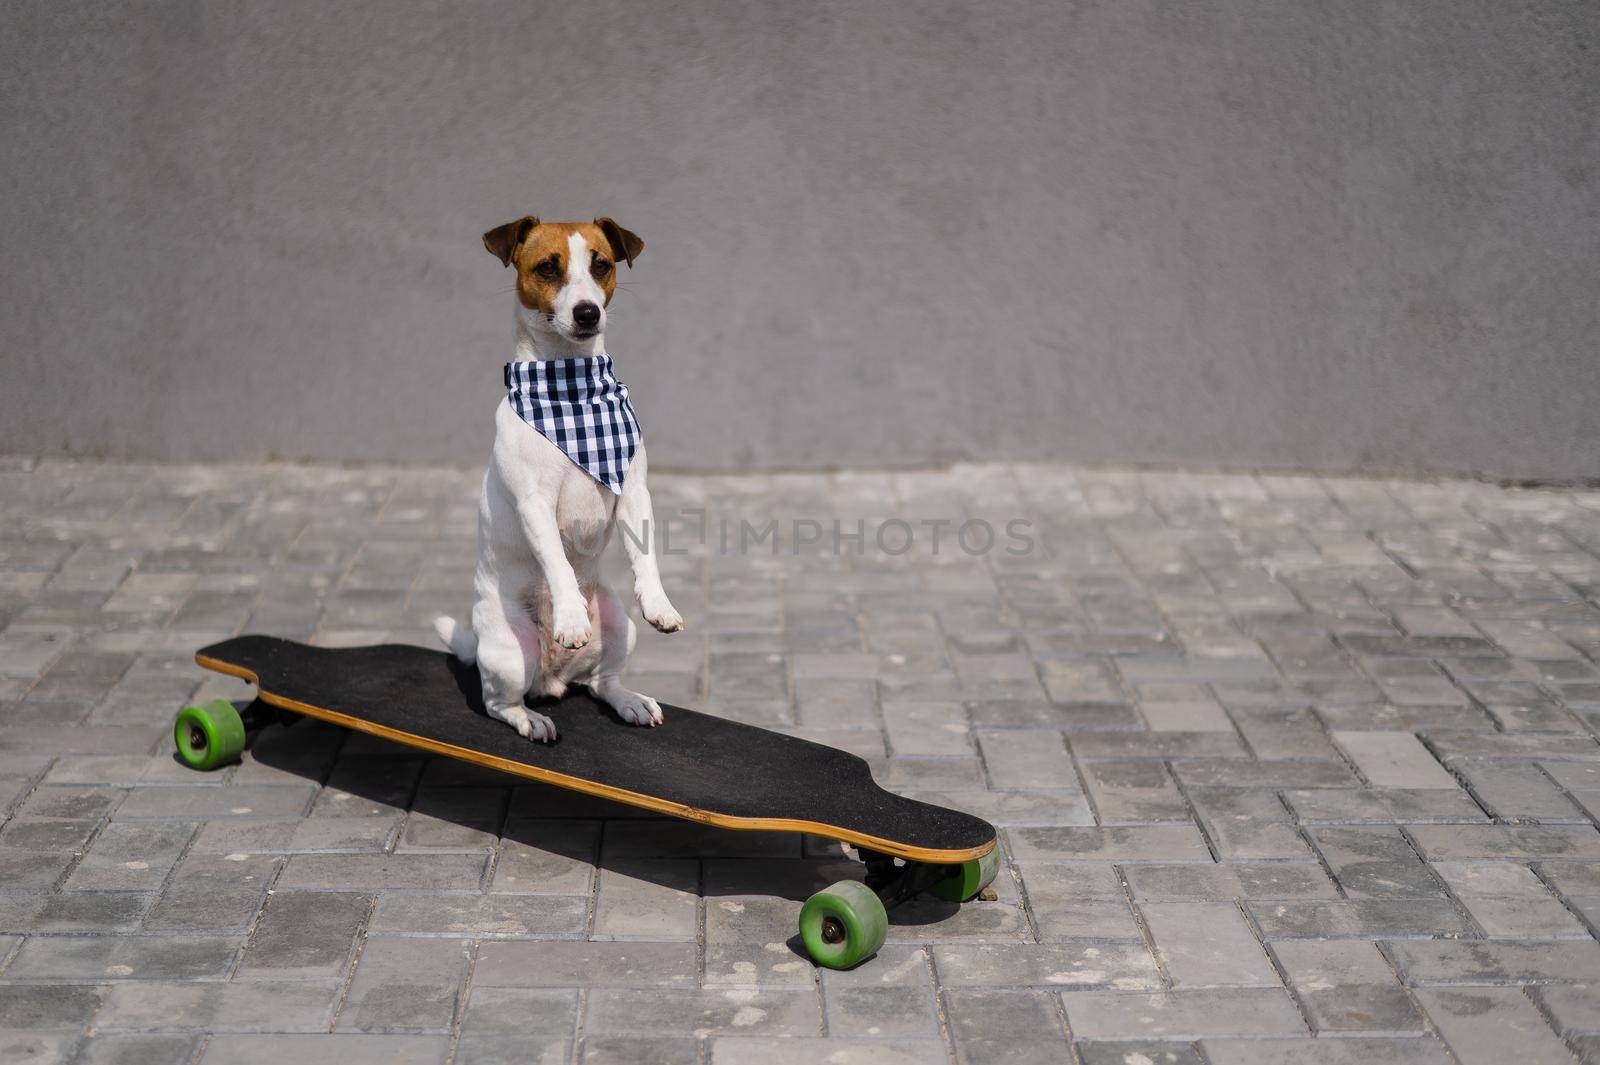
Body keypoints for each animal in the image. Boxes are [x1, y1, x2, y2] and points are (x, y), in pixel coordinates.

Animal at [435, 214, 684, 741]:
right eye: (548, 267)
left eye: (601, 265)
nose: (588, 313)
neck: (573, 389)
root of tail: (553, 679)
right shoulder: (535, 504)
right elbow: (557, 561)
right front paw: (569, 616)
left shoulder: (633, 491)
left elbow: (646, 555)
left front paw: (660, 604)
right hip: (511, 653)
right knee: (498, 702)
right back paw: (531, 719)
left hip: (619, 627)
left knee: (602, 682)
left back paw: (630, 701)